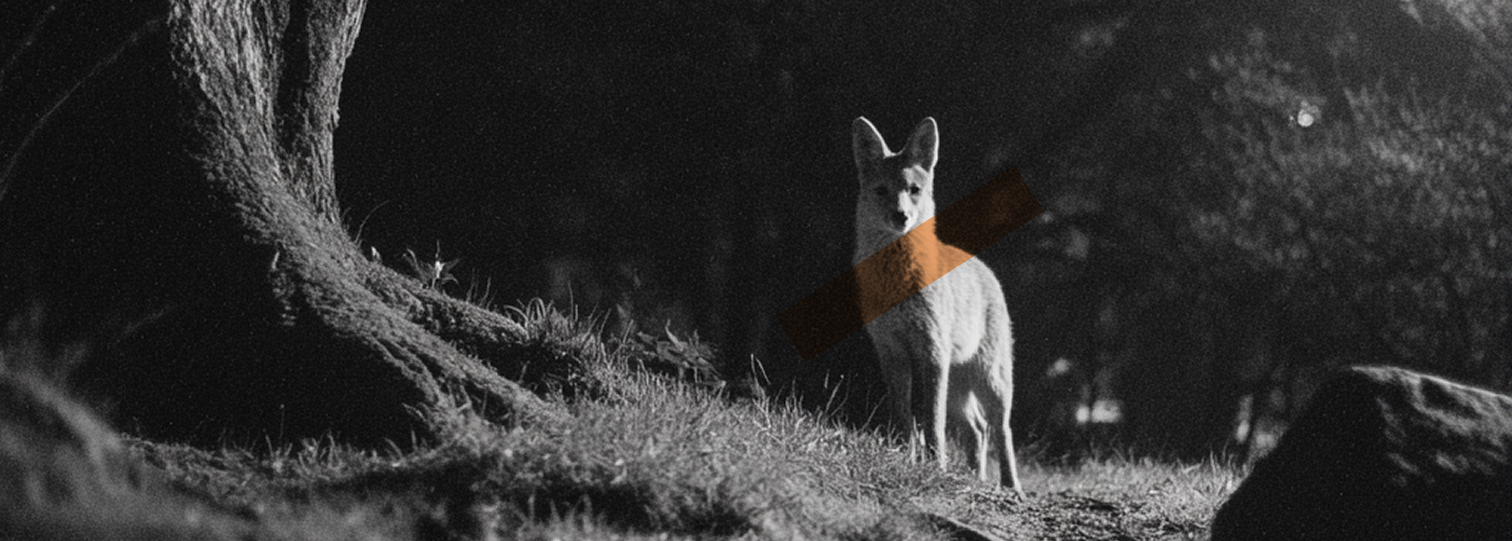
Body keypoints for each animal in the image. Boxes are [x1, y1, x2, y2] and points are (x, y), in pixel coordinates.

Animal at [851, 116, 1021, 494]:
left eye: (913, 189)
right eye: (881, 191)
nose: (901, 216)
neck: (898, 285)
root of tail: (985, 268)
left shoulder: (930, 353)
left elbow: (931, 423)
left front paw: (936, 467)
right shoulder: (892, 353)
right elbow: (904, 419)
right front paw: (907, 459)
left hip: (989, 380)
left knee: (1001, 429)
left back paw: (1010, 486)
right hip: (959, 388)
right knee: (977, 430)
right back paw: (976, 478)